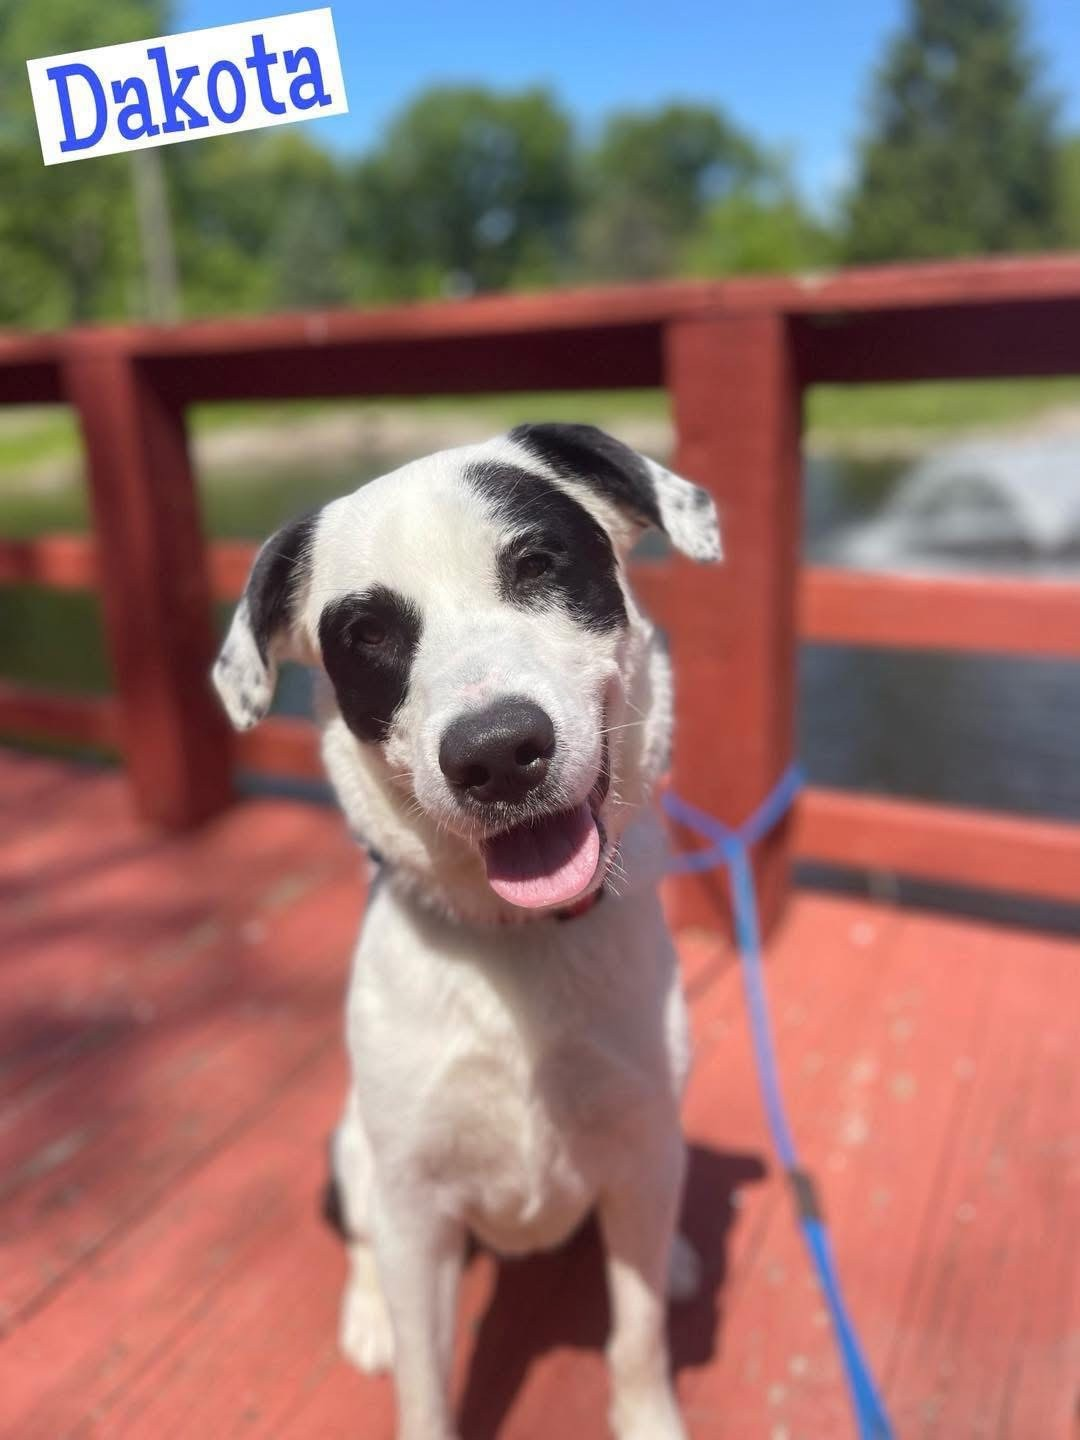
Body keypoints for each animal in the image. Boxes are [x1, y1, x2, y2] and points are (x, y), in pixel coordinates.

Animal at [213, 423, 722, 1440]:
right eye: (366, 634)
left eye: (536, 564)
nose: (496, 752)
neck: (518, 941)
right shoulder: (417, 1206)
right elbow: (424, 1372)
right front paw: (397, 1340)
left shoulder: (642, 1141)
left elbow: (637, 1333)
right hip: (352, 1150)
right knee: (360, 1236)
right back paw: (367, 1313)